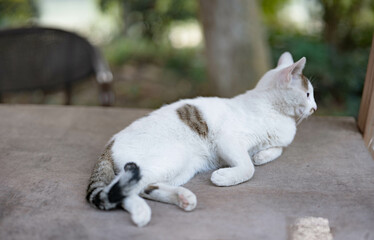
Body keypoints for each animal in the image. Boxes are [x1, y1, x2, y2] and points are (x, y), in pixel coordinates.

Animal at [86, 51, 318, 227]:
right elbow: (248, 167)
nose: (315, 108)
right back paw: (142, 213)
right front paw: (227, 176)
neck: (275, 111)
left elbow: (275, 150)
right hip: (170, 157)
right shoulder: (227, 140)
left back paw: (183, 198)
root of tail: (110, 143)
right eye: (308, 94)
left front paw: (261, 156)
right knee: (118, 189)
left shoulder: (272, 141)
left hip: (181, 168)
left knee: (143, 188)